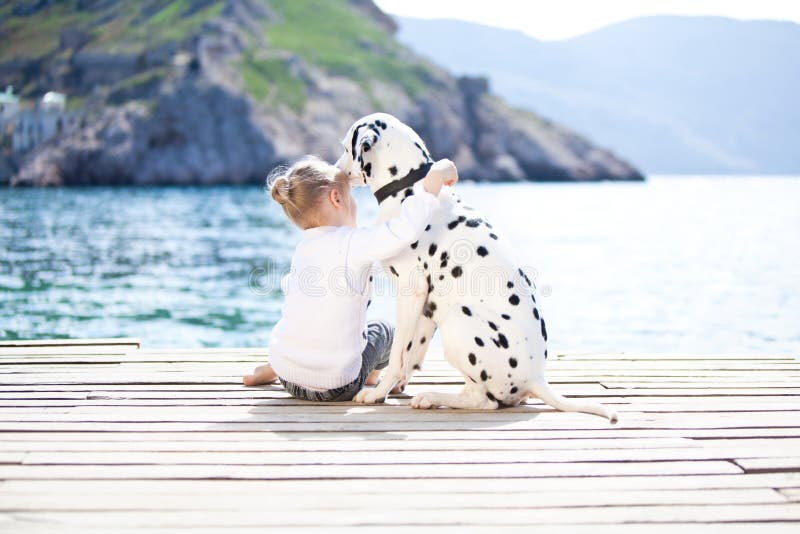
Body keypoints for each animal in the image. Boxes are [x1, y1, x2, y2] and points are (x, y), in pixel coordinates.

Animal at [334, 113, 616, 422]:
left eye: (346, 147)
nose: (336, 170)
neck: (411, 187)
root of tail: (536, 379)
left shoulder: (410, 293)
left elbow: (398, 356)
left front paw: (378, 393)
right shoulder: (427, 307)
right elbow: (413, 353)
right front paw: (396, 386)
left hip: (457, 320)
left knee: (483, 400)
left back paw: (434, 397)